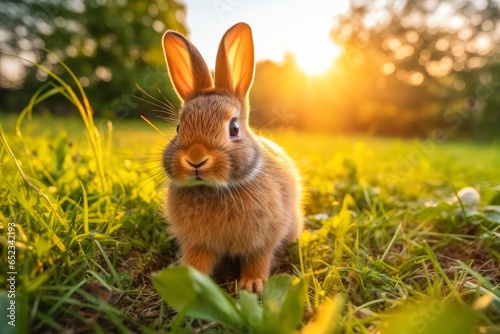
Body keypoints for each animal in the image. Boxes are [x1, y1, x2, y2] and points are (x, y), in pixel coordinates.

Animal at [162, 22, 302, 292]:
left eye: (234, 128)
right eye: (178, 128)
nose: (196, 158)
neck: (214, 189)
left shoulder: (264, 239)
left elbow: (259, 258)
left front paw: (253, 284)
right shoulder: (198, 243)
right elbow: (197, 260)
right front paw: (189, 281)